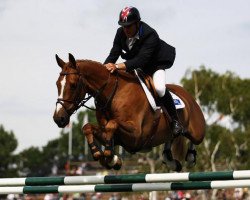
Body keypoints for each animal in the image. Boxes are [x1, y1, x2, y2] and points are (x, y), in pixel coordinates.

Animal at [52, 53, 205, 172]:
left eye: (72, 85)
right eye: (57, 84)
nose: (59, 118)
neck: (113, 94)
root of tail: (187, 94)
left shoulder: (136, 135)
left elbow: (112, 125)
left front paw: (109, 155)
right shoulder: (117, 136)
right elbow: (88, 127)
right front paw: (105, 155)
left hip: (197, 131)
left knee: (194, 139)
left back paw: (190, 157)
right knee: (171, 138)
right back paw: (170, 160)